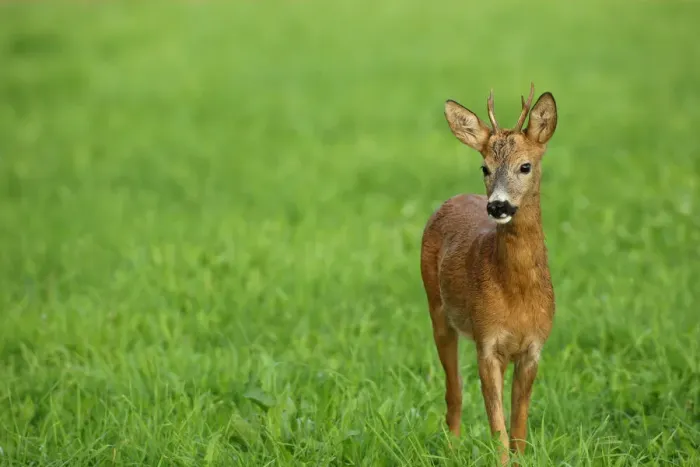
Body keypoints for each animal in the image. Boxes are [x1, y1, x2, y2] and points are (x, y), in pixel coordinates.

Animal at [420, 83, 558, 464]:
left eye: (525, 165)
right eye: (485, 166)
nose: (497, 205)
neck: (517, 295)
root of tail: (453, 199)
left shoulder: (533, 348)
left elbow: (519, 426)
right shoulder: (487, 341)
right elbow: (498, 427)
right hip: (437, 309)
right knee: (454, 391)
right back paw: (451, 449)